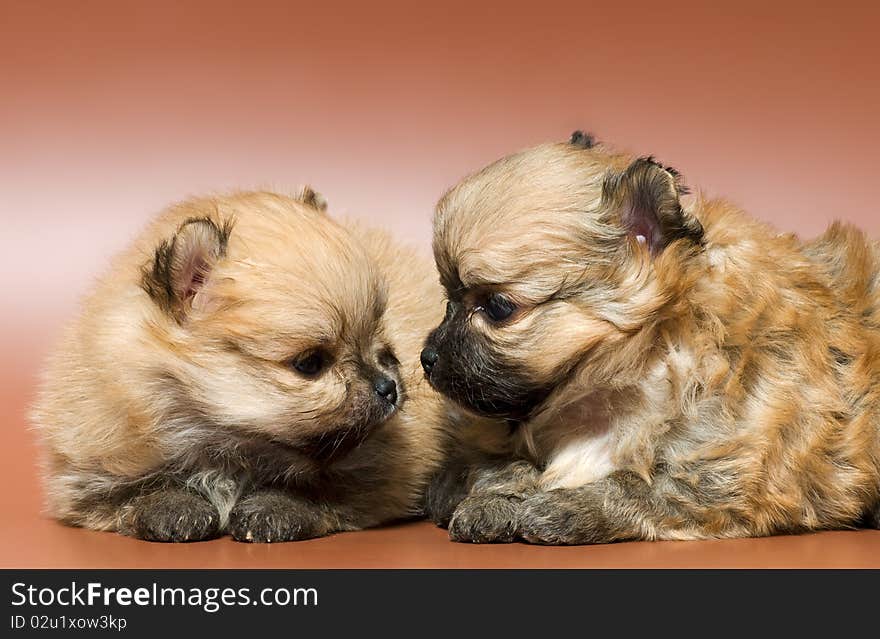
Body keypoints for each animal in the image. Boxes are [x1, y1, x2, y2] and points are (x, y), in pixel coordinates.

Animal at [32, 188, 446, 544]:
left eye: (384, 348)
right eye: (310, 364)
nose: (388, 387)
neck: (225, 448)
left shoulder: (378, 471)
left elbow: (320, 490)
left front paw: (275, 508)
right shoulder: (88, 472)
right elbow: (135, 492)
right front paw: (173, 507)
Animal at [422, 131, 880, 544]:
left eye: (497, 307)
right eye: (448, 300)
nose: (427, 357)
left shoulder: (724, 474)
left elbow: (634, 485)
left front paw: (563, 506)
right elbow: (488, 468)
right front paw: (497, 498)